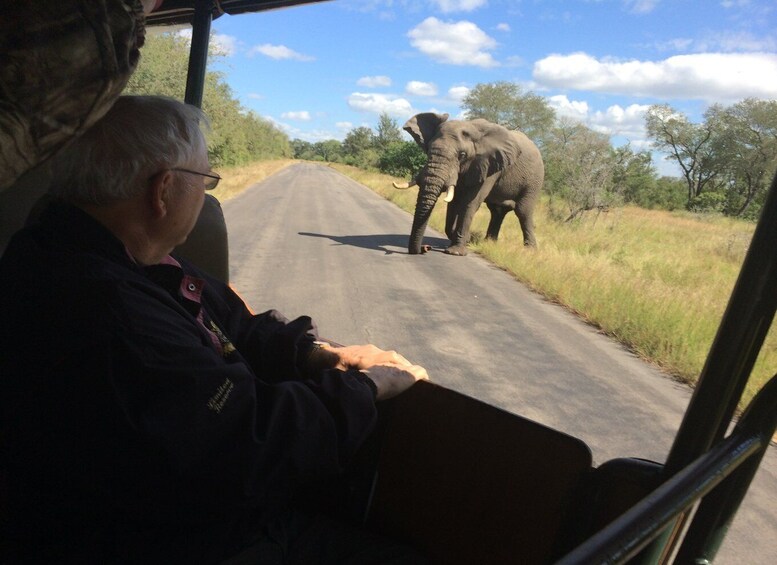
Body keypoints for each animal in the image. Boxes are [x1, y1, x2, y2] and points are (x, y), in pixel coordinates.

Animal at [392, 112, 544, 256]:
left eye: (462, 155)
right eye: (428, 149)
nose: (425, 248)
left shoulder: (490, 165)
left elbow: (469, 203)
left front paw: (456, 251)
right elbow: (454, 202)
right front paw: (465, 239)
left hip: (534, 181)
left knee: (523, 211)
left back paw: (530, 252)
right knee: (497, 211)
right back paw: (488, 243)